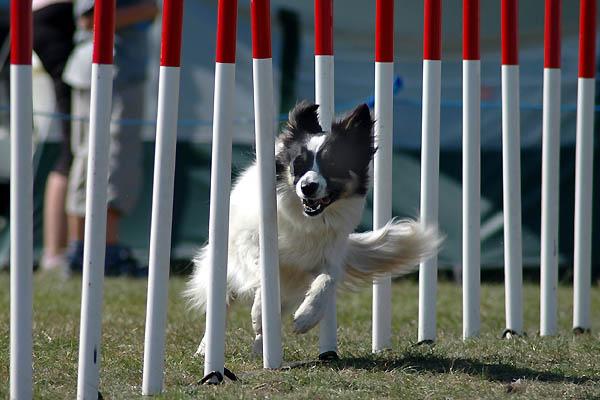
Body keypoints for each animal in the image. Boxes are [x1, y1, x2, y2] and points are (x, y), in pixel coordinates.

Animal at [186, 101, 440, 354]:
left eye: (333, 164)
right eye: (297, 164)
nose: (308, 187)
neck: (307, 220)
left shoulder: (328, 254)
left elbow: (326, 281)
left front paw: (306, 317)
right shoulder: (249, 245)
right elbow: (264, 273)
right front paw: (260, 312)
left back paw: (263, 346)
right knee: (224, 301)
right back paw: (208, 348)